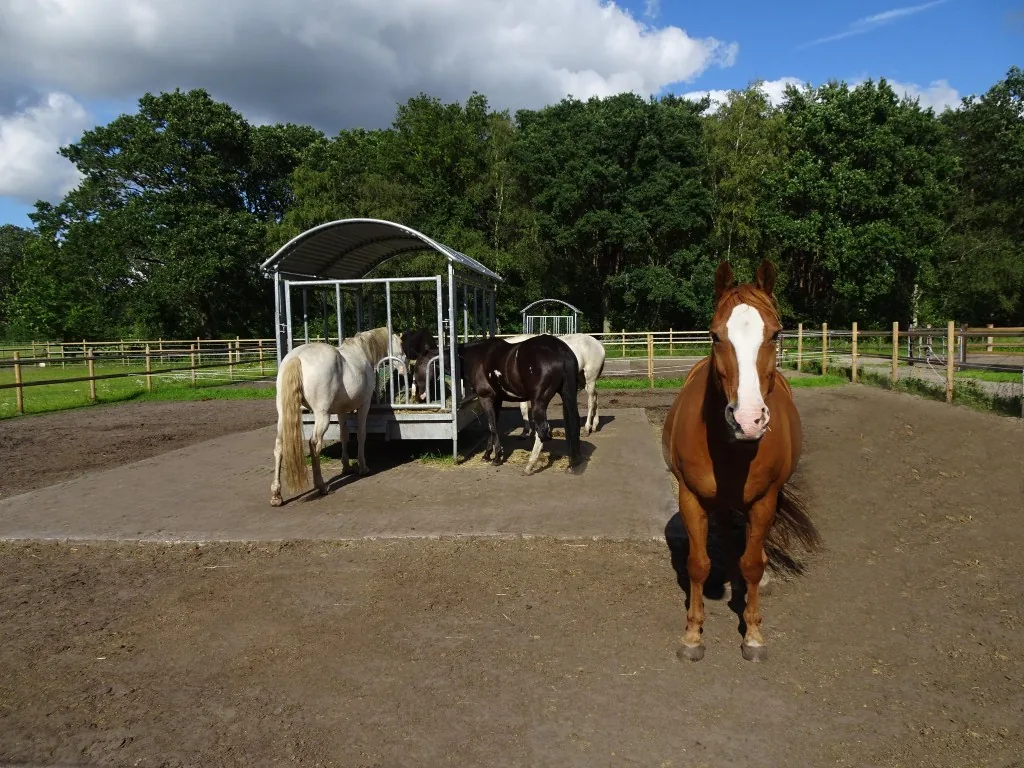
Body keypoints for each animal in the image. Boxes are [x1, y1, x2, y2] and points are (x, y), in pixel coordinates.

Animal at [270, 327, 406, 507]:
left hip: (283, 413)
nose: (405, 369)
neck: (361, 351)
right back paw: (321, 486)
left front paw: (346, 467)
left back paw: (276, 495)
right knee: (314, 444)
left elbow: (344, 435)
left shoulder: (341, 410)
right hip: (322, 415)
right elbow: (361, 434)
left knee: (279, 445)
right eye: (401, 346)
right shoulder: (364, 406)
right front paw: (362, 467)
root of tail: (297, 357)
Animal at [413, 335, 584, 475]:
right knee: (573, 423)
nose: (418, 396)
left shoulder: (486, 398)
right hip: (567, 394)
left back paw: (529, 466)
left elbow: (491, 426)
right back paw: (572, 464)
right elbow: (493, 425)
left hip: (538, 402)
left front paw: (496, 457)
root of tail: (561, 350)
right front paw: (487, 454)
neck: (475, 357)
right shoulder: (497, 400)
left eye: (417, 366)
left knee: (542, 430)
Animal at [661, 259, 821, 663]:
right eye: (715, 335)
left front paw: (753, 635)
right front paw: (692, 635)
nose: (748, 420)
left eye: (776, 334)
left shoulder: (764, 500)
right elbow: (697, 564)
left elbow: (751, 565)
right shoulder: (691, 497)